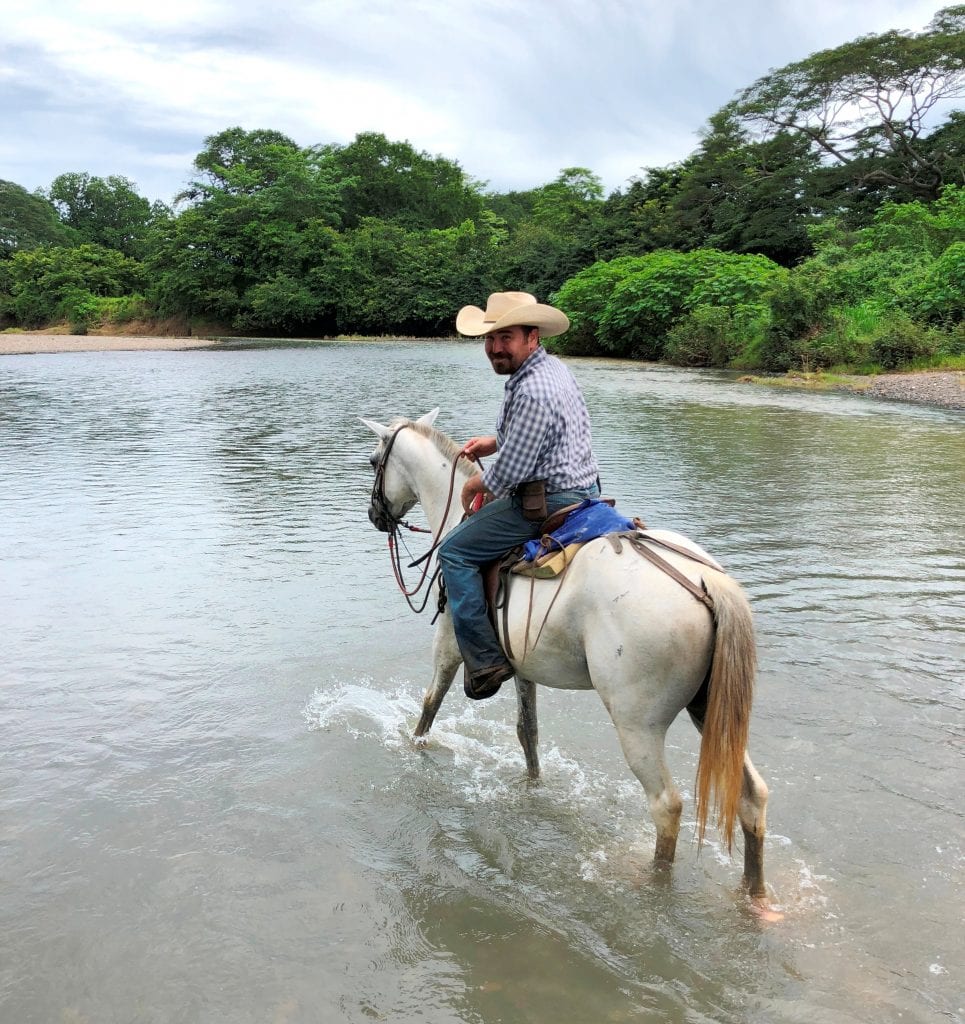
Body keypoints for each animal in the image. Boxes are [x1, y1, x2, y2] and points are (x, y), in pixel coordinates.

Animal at [358, 409, 774, 905]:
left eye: (373, 461)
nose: (375, 515)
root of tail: (707, 583)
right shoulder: (521, 666)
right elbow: (528, 733)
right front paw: (533, 789)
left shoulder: (450, 645)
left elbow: (429, 706)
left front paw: (413, 747)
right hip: (709, 708)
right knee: (751, 797)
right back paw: (755, 897)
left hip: (638, 723)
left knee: (666, 806)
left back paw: (653, 883)